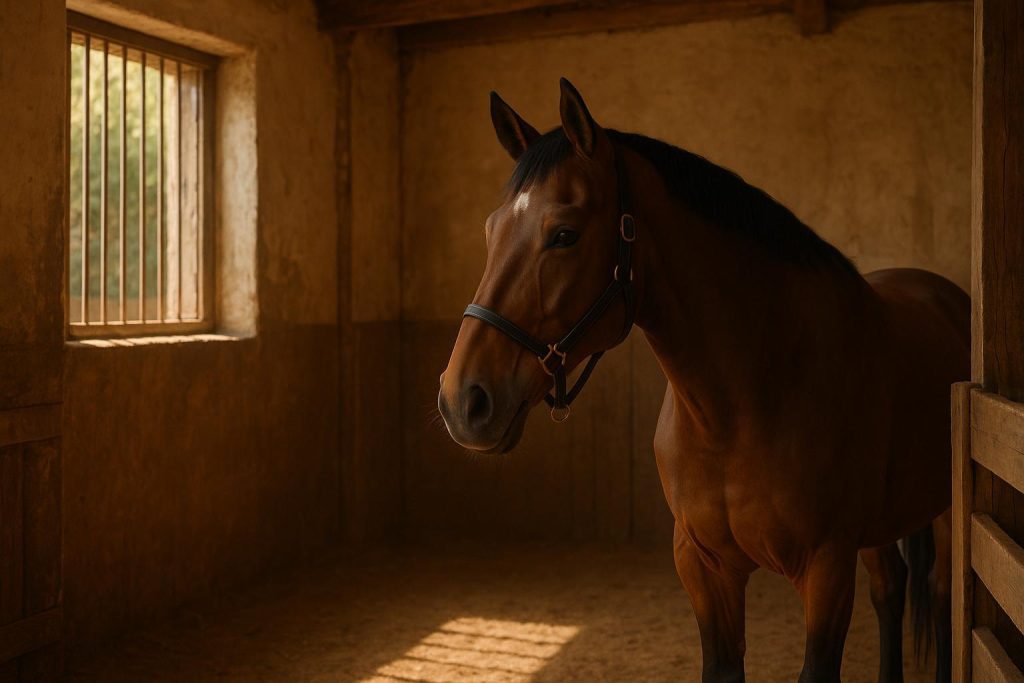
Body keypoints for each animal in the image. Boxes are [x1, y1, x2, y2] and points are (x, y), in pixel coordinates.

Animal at [437, 78, 968, 683]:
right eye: (490, 231)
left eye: (564, 234)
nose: (462, 400)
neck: (745, 403)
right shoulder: (703, 565)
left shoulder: (826, 567)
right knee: (891, 592)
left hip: (942, 513)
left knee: (943, 596)